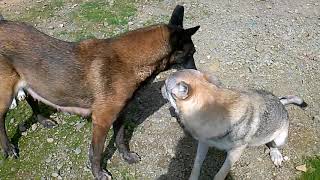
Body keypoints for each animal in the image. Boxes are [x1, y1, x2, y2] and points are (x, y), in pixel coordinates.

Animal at [0, 4, 200, 179]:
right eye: (191, 53)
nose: (198, 75)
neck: (129, 63)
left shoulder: (120, 115)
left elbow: (120, 139)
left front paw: (126, 156)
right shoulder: (102, 121)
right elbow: (96, 153)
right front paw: (98, 173)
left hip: (30, 83)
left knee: (32, 99)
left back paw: (43, 120)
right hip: (5, 95)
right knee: (1, 120)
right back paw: (8, 148)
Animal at [161, 69, 306, 180]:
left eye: (166, 84)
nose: (160, 87)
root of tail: (281, 102)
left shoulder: (235, 153)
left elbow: (220, 174)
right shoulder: (203, 142)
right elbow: (197, 164)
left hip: (280, 138)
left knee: (273, 144)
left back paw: (276, 155)